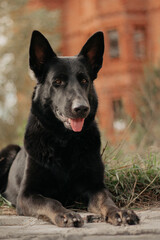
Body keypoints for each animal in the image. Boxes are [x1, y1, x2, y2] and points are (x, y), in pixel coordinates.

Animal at [0, 31, 139, 227]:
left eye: (84, 80)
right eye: (57, 81)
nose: (81, 108)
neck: (64, 141)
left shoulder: (95, 187)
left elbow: (106, 200)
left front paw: (119, 211)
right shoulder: (27, 194)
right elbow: (50, 201)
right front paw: (66, 214)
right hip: (8, 150)